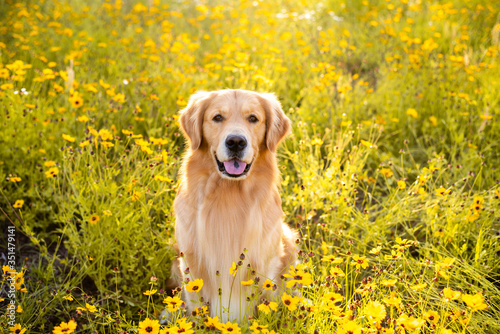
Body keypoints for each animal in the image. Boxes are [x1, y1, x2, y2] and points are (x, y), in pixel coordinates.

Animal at [169, 89, 300, 324]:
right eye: (217, 117)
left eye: (253, 118)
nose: (236, 142)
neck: (228, 195)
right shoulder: (190, 264)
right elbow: (195, 306)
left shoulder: (262, 265)